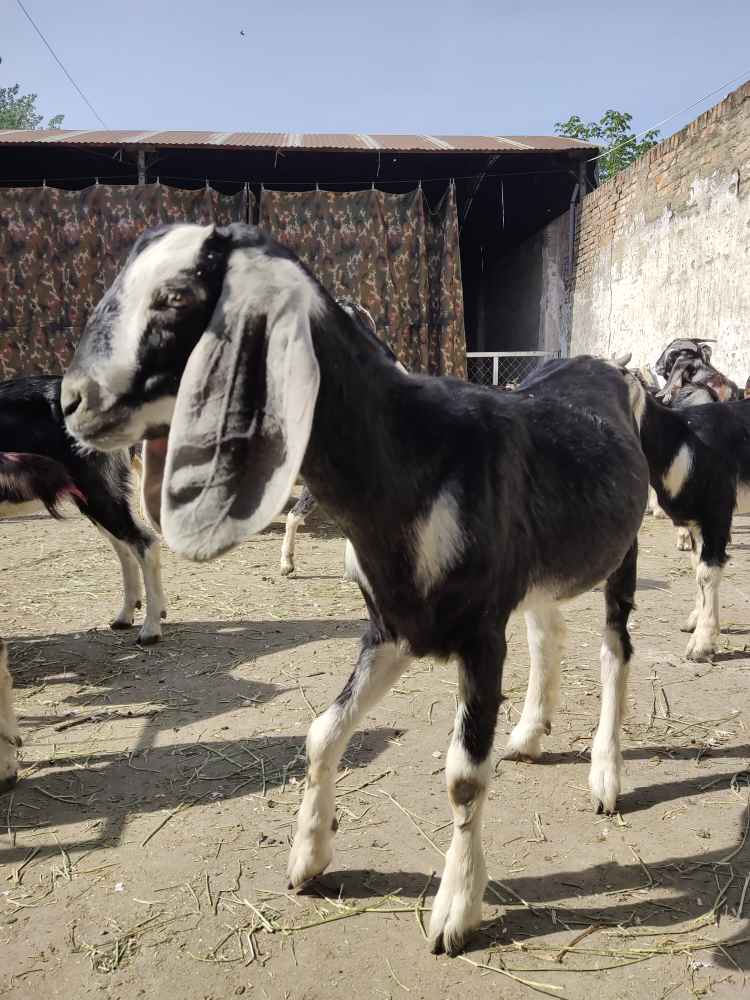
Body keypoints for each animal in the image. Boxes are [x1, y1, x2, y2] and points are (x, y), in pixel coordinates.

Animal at [61, 223, 648, 956]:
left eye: (174, 299)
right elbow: (321, 732)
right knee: (550, 627)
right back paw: (529, 735)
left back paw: (606, 777)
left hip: (624, 548)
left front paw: (455, 912)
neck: (413, 458)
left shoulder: (480, 632)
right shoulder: (393, 626)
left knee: (615, 649)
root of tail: (603, 365)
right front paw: (307, 859)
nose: (70, 401)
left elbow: (463, 776)